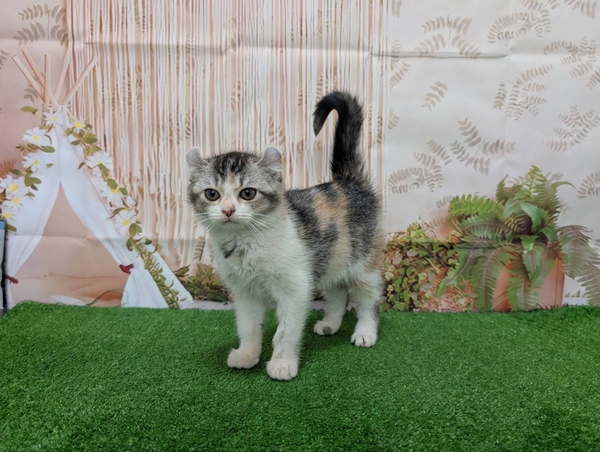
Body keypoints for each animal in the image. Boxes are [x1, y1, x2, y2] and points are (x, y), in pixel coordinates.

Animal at [186, 91, 384, 381]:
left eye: (247, 193)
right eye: (212, 194)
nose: (228, 210)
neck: (247, 244)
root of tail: (348, 181)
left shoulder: (295, 288)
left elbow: (286, 331)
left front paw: (282, 363)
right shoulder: (244, 291)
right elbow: (248, 325)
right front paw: (248, 354)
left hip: (363, 262)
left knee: (369, 298)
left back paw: (365, 332)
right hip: (329, 256)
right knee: (337, 290)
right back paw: (330, 324)